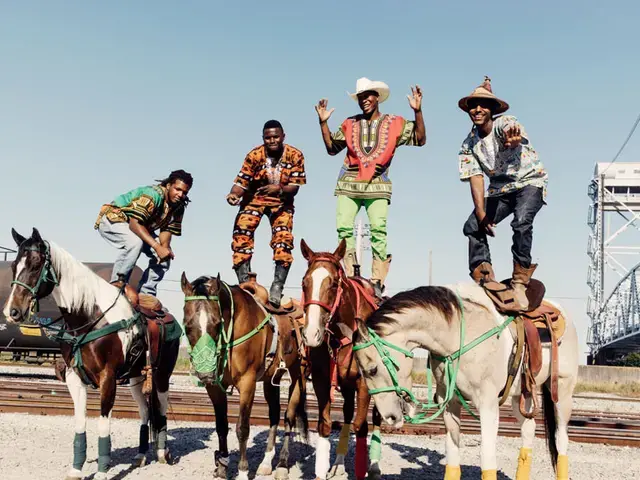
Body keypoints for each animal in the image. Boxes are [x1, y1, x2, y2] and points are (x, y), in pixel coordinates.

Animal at [3, 227, 181, 478]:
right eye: (14, 265)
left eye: (36, 264)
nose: (12, 312)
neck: (88, 317)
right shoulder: (73, 377)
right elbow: (80, 424)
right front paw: (76, 469)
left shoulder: (108, 378)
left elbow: (103, 425)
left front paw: (102, 472)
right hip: (136, 377)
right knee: (145, 411)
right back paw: (140, 456)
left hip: (162, 374)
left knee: (161, 408)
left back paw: (162, 453)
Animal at [180, 272, 310, 478]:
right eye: (187, 325)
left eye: (217, 323)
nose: (205, 373)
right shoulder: (215, 387)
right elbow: (221, 426)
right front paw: (222, 466)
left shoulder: (247, 383)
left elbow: (242, 428)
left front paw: (242, 471)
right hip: (271, 379)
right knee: (274, 414)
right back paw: (266, 463)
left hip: (298, 376)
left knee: (288, 416)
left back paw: (282, 464)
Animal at [298, 239, 382, 480]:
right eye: (304, 282)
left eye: (334, 284)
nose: (311, 334)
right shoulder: (322, 380)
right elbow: (325, 424)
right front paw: (321, 471)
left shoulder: (364, 383)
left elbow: (361, 426)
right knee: (345, 413)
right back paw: (339, 462)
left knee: (376, 418)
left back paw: (374, 466)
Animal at [350, 282, 580, 480]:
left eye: (372, 370)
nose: (389, 418)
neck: (459, 335)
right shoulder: (450, 403)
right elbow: (452, 455)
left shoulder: (488, 405)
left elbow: (487, 458)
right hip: (522, 396)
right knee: (528, 429)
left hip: (562, 392)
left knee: (561, 440)